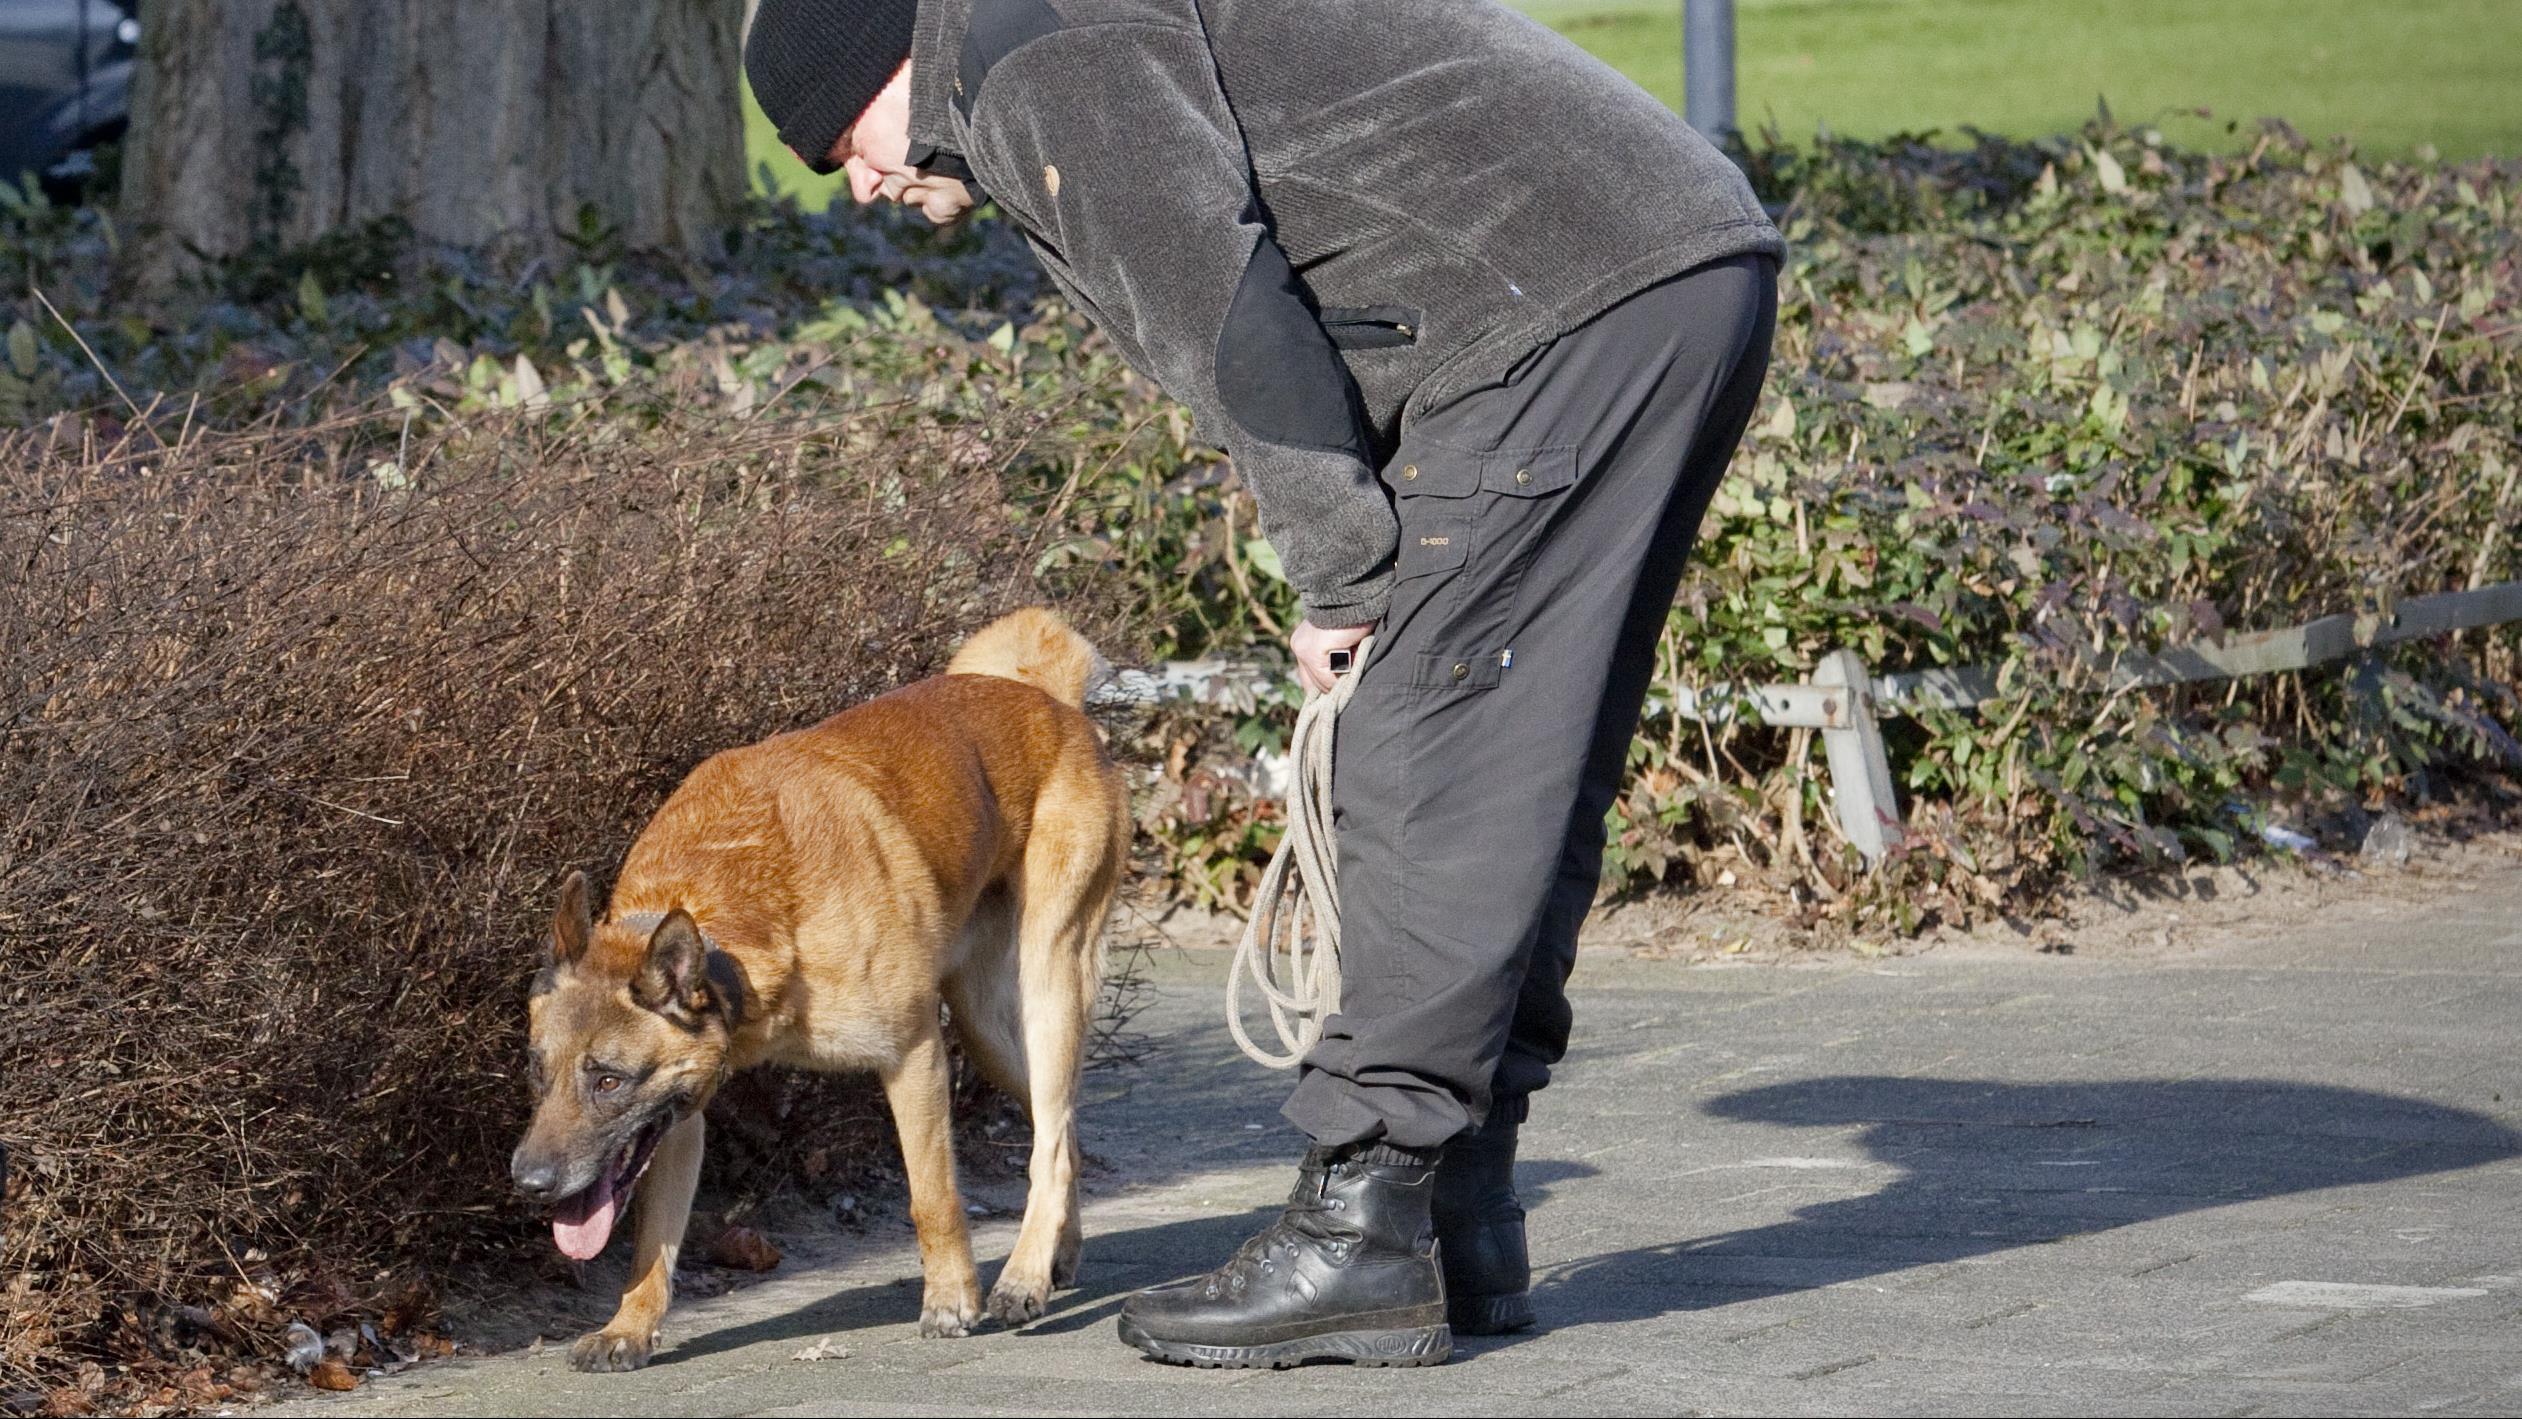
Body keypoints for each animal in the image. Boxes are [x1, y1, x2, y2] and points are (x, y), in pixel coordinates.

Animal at [506, 604, 1129, 1371]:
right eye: (537, 1072)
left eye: (608, 1081)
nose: (528, 1183)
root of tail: (1052, 704)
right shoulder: (680, 1119)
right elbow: (652, 1242)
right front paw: (630, 1325)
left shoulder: (914, 1056)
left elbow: (931, 1197)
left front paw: (952, 1299)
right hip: (987, 1031)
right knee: (1061, 1133)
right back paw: (1054, 1259)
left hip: (1047, 989)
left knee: (1052, 1143)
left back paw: (1020, 1278)